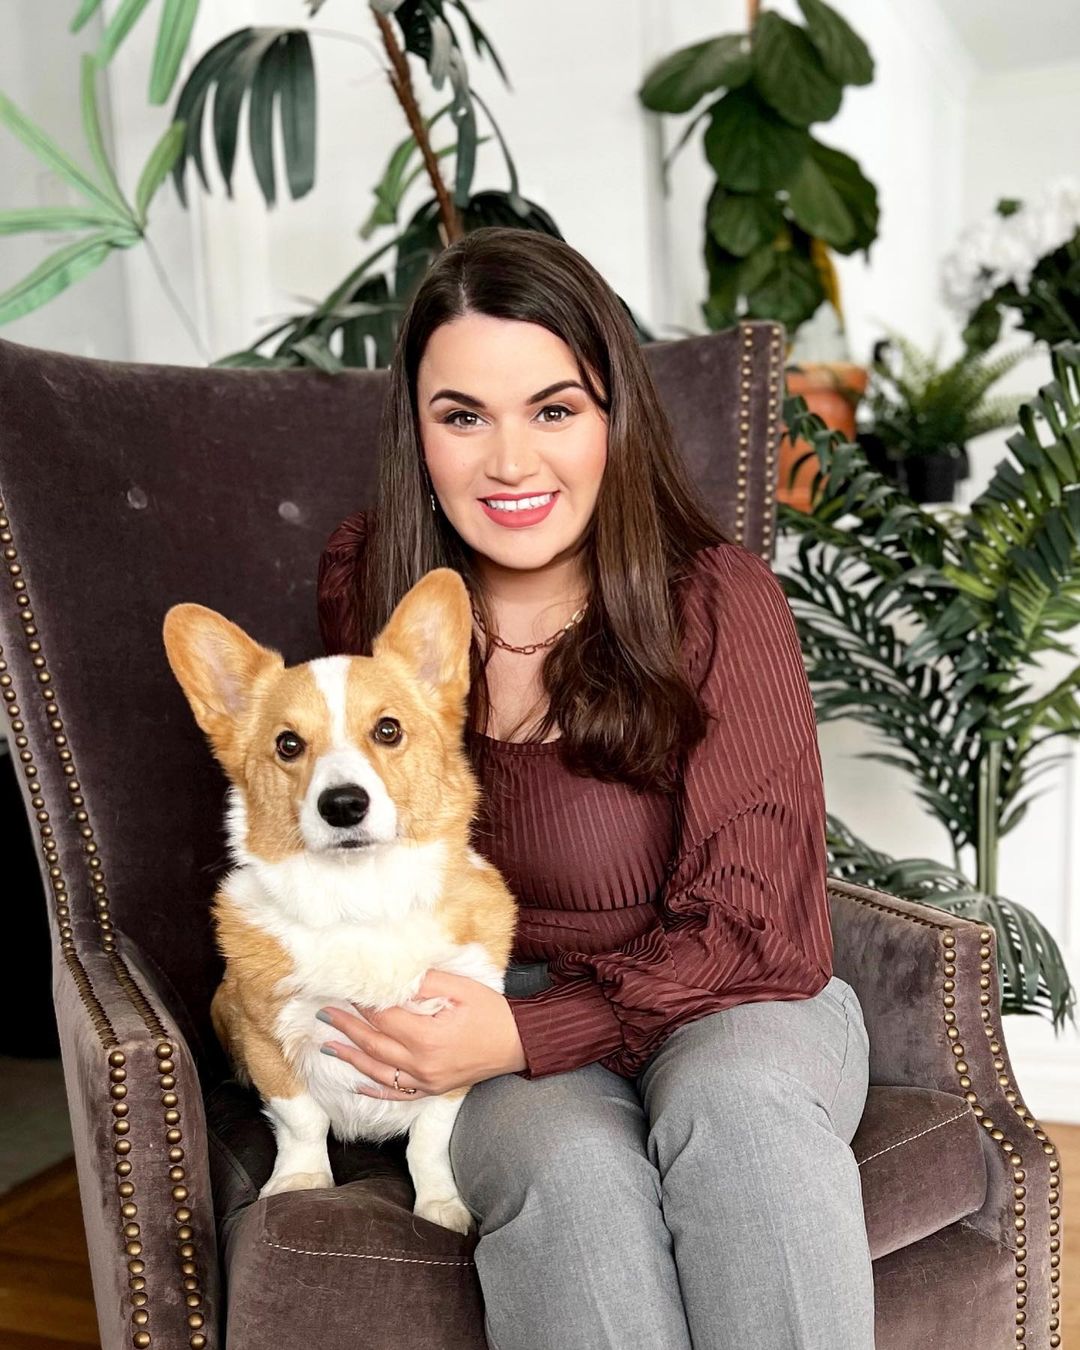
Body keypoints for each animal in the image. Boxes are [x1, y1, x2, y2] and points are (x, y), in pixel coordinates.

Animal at [160, 569, 518, 1236]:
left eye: (388, 730)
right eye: (288, 744)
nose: (343, 805)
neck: (361, 900)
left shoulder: (455, 1049)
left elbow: (428, 1138)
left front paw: (439, 1205)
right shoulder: (267, 1036)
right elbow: (302, 1120)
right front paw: (301, 1182)